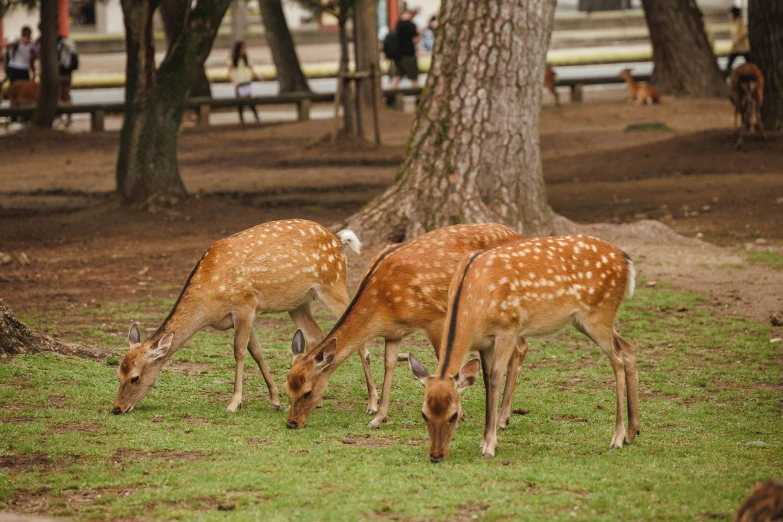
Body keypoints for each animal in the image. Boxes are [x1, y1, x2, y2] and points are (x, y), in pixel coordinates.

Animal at [112, 218, 378, 414]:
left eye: (135, 378)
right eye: (118, 373)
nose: (117, 408)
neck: (209, 301)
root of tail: (338, 239)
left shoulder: (245, 304)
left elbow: (239, 352)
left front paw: (234, 403)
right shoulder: (243, 315)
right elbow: (256, 352)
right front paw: (275, 400)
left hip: (333, 283)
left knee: (359, 338)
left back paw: (372, 405)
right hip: (298, 303)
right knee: (316, 335)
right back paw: (316, 398)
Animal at [284, 223, 528, 430]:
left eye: (307, 392)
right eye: (287, 388)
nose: (291, 423)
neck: (383, 304)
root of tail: (518, 234)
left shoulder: (436, 319)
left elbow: (444, 363)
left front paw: (458, 416)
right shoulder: (394, 332)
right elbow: (389, 365)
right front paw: (378, 418)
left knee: (519, 348)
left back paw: (502, 420)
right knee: (520, 347)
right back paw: (504, 418)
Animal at [410, 234, 636, 462]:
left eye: (454, 415)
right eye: (424, 414)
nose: (435, 456)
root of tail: (626, 260)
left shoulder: (508, 328)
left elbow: (495, 378)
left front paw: (489, 446)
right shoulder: (485, 342)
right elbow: (485, 380)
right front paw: (483, 441)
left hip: (598, 313)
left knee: (617, 360)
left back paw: (617, 438)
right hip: (584, 321)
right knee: (628, 347)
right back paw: (632, 432)